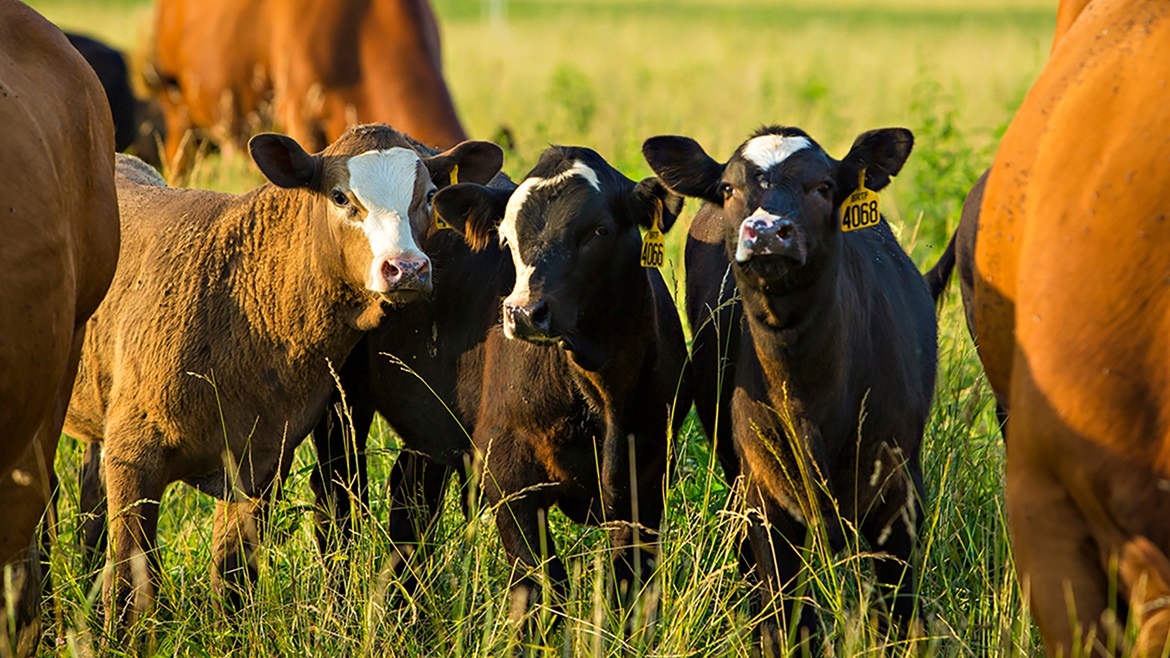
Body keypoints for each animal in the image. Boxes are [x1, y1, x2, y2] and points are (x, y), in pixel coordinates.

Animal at [62, 124, 502, 630]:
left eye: (429, 195)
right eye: (339, 196)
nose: (406, 268)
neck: (240, 302)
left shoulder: (262, 460)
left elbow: (233, 578)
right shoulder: (133, 457)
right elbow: (130, 585)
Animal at [424, 146, 692, 613]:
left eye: (599, 230)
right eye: (506, 239)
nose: (524, 312)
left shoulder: (647, 478)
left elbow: (629, 587)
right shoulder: (508, 477)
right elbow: (541, 586)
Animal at [643, 125, 936, 653]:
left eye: (823, 186)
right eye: (729, 188)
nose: (765, 232)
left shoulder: (898, 499)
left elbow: (901, 619)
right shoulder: (765, 501)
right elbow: (786, 622)